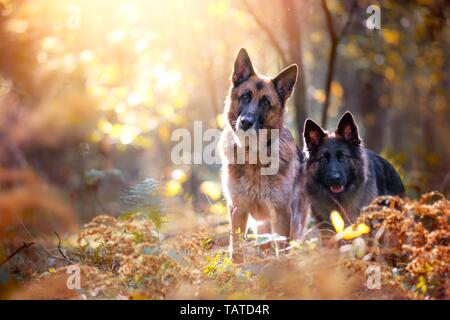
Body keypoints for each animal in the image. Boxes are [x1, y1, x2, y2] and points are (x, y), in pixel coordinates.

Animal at [220, 48, 308, 262]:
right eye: (245, 96)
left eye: (265, 102)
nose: (245, 122)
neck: (254, 158)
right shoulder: (238, 210)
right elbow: (236, 249)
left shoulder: (282, 213)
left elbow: (282, 249)